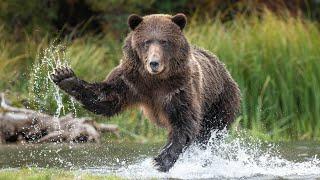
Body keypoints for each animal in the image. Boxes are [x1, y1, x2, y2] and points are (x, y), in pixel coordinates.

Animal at [51, 13, 240, 172]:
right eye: (147, 41)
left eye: (164, 41)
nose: (154, 63)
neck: (154, 81)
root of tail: (225, 69)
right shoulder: (131, 81)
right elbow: (107, 99)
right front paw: (64, 76)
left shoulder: (179, 88)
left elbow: (184, 123)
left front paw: (160, 161)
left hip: (220, 102)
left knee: (208, 133)